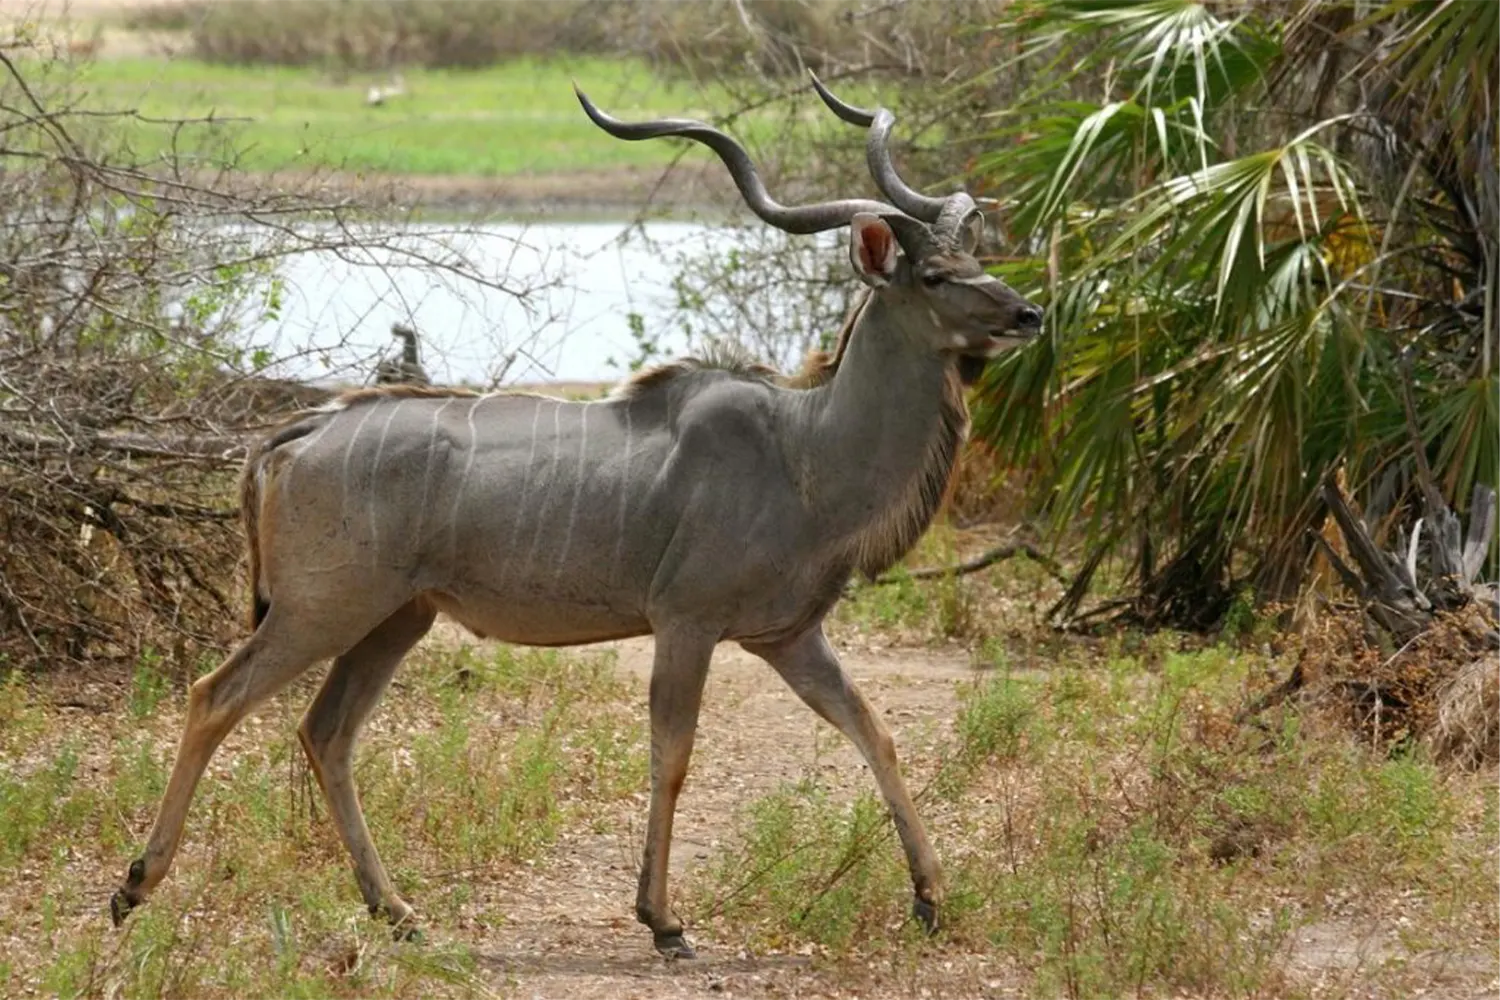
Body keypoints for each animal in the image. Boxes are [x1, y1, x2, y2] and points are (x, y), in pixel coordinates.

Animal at [111, 76, 1044, 953]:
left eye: (981, 260)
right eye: (937, 277)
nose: (1027, 313)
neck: (803, 450)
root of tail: (298, 433)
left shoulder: (789, 637)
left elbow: (874, 732)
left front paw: (930, 898)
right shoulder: (687, 622)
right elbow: (673, 754)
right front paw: (663, 922)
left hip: (396, 619)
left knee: (326, 731)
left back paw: (397, 911)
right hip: (321, 610)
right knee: (214, 696)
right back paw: (135, 886)